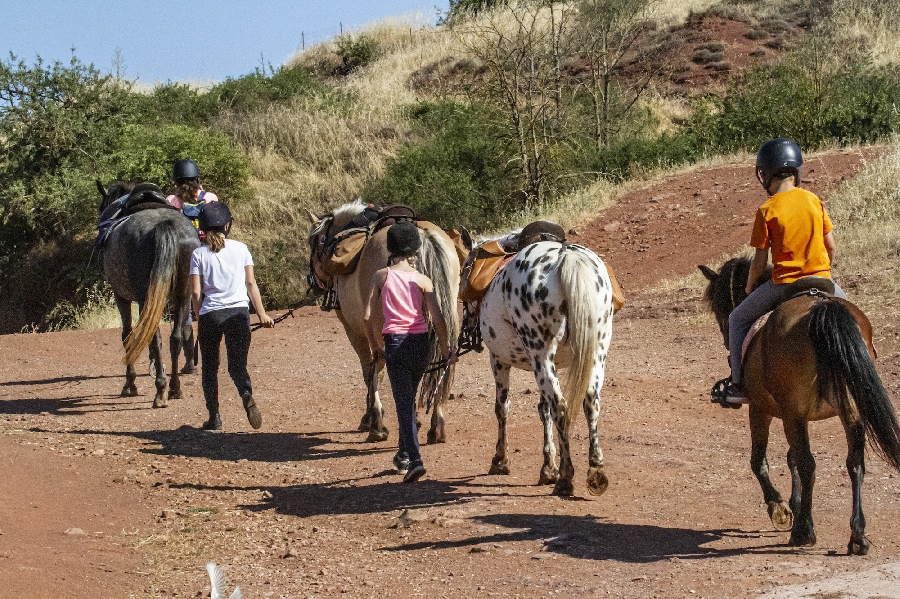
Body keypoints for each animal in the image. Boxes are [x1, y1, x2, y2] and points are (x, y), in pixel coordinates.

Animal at [98, 180, 200, 410]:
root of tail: (165, 225)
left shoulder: (122, 296)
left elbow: (127, 335)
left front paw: (130, 384)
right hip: (182, 293)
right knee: (175, 338)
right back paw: (174, 388)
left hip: (146, 295)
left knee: (154, 337)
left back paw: (161, 390)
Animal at [310, 204, 464, 442]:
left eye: (312, 242)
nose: (312, 282)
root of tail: (422, 235)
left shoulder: (355, 332)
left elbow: (370, 371)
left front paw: (372, 418)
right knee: (443, 360)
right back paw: (436, 426)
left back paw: (383, 425)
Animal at [460, 238, 616, 496]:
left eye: (465, 269)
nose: (466, 327)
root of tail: (566, 255)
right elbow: (544, 410)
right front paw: (548, 467)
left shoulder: (499, 360)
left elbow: (502, 408)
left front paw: (501, 459)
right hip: (596, 352)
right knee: (590, 403)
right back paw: (596, 470)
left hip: (540, 355)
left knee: (561, 407)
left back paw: (566, 478)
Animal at [704, 255, 900, 556]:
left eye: (721, 308)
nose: (726, 339)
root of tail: (822, 307)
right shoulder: (797, 414)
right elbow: (792, 457)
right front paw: (794, 505)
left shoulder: (763, 409)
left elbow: (760, 461)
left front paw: (780, 509)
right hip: (850, 412)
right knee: (855, 464)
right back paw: (857, 536)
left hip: (792, 414)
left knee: (809, 464)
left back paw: (804, 531)